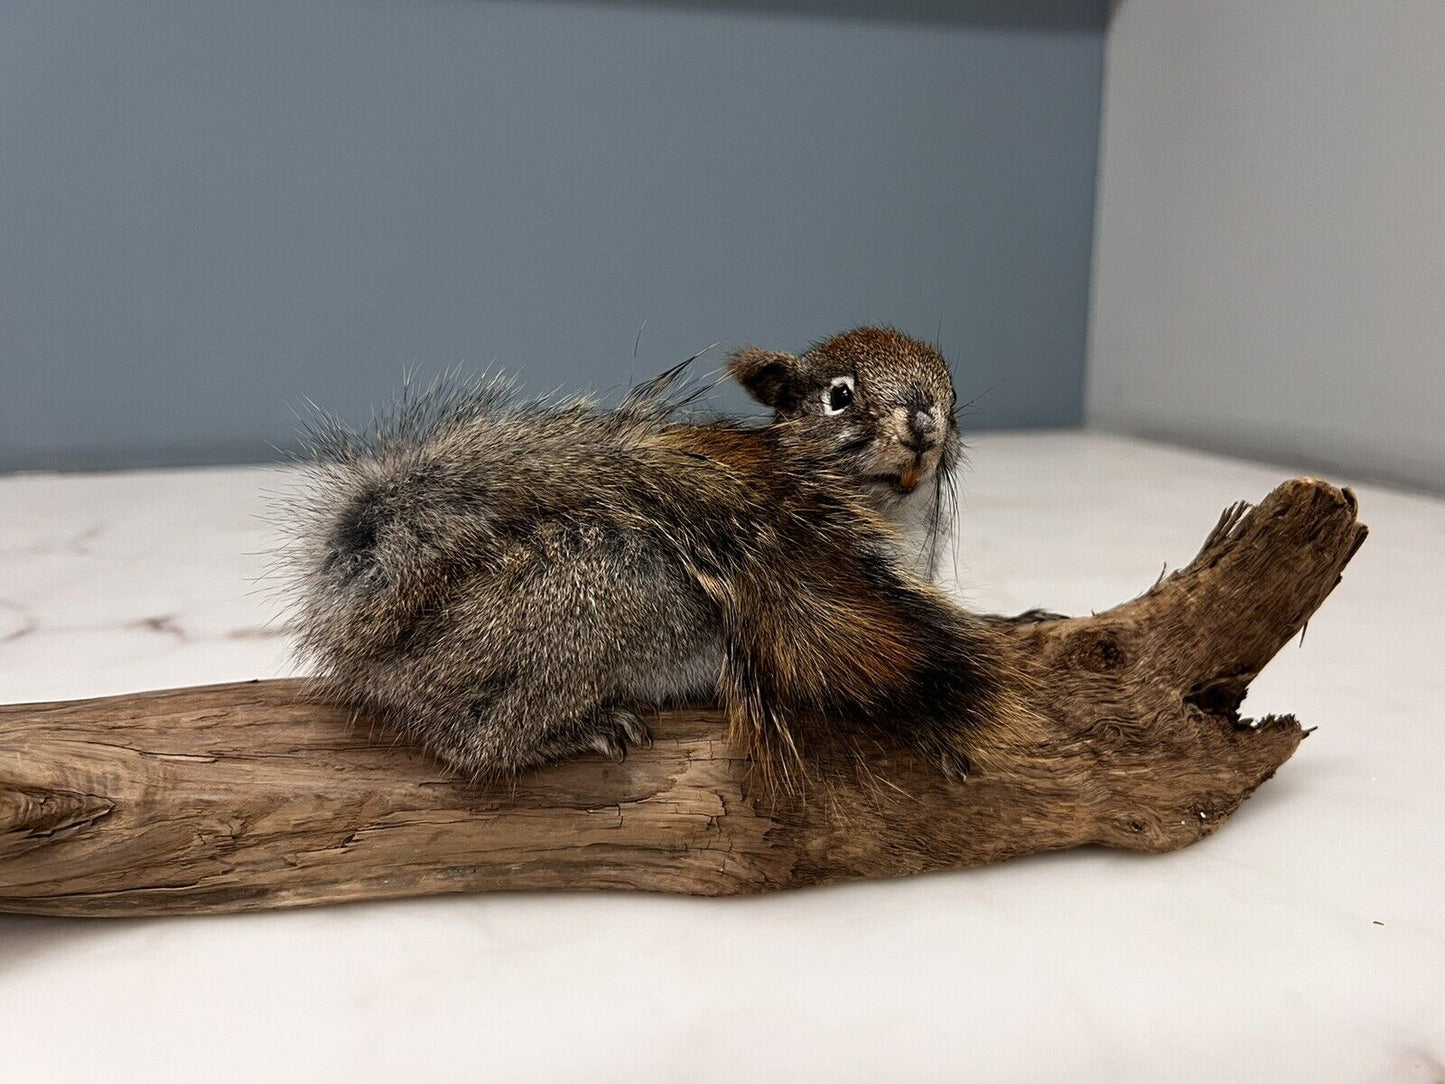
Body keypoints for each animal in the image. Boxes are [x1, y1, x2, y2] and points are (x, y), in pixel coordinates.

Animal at [284, 326, 1027, 792]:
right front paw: (937, 731)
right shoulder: (815, 600)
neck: (886, 511)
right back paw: (574, 732)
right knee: (472, 740)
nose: (926, 420)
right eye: (839, 395)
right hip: (589, 611)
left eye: (948, 380)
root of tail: (393, 652)